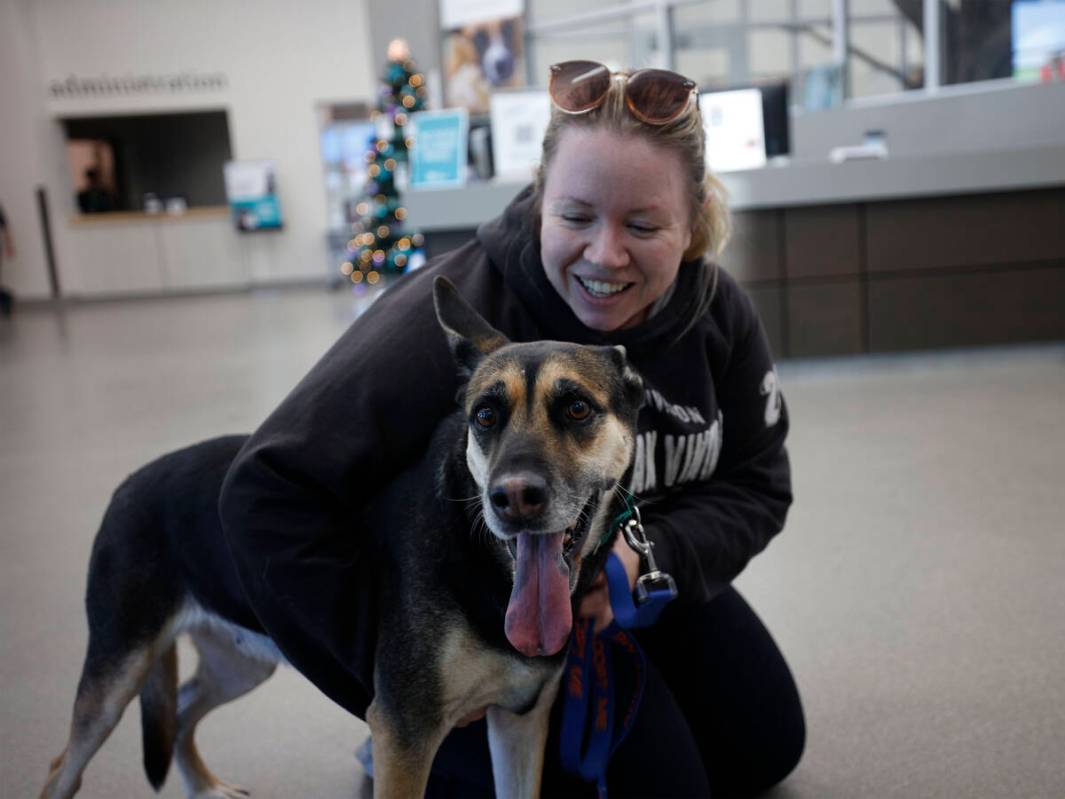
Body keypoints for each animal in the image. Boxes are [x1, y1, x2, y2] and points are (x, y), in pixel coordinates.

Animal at [41, 276, 643, 799]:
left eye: (577, 408)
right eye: (486, 415)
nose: (512, 499)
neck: (483, 562)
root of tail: (132, 480)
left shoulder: (520, 722)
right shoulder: (404, 735)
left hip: (242, 662)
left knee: (184, 705)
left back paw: (204, 786)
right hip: (115, 678)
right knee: (62, 768)